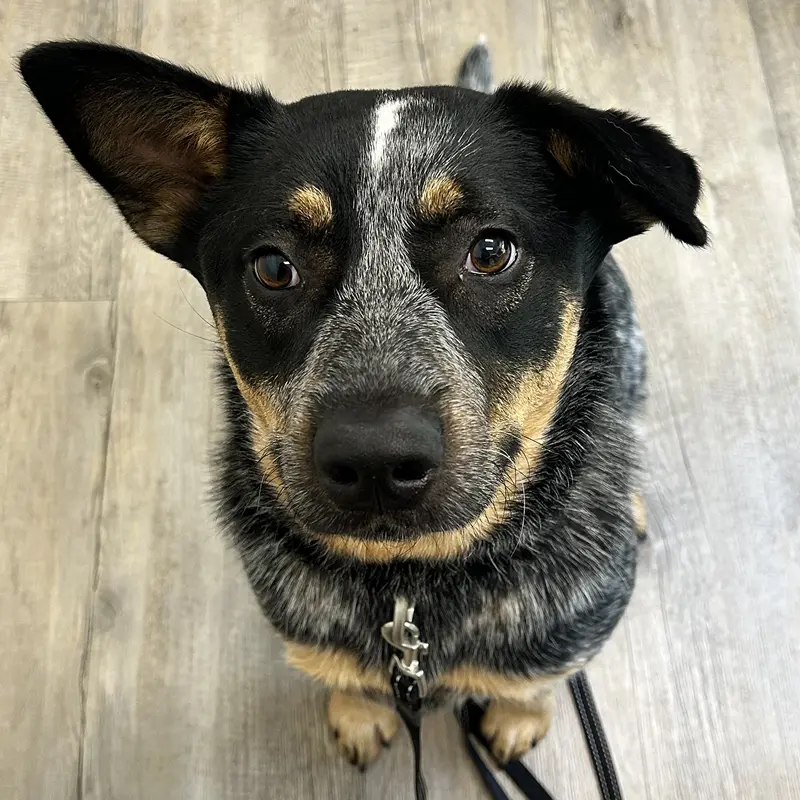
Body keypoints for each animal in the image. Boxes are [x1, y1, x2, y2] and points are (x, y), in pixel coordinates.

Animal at [20, 39, 705, 770]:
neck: (411, 590)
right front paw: (357, 709)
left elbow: (536, 682)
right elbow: (346, 677)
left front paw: (518, 716)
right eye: (274, 267)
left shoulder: (570, 629)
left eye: (491, 250)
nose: (375, 458)